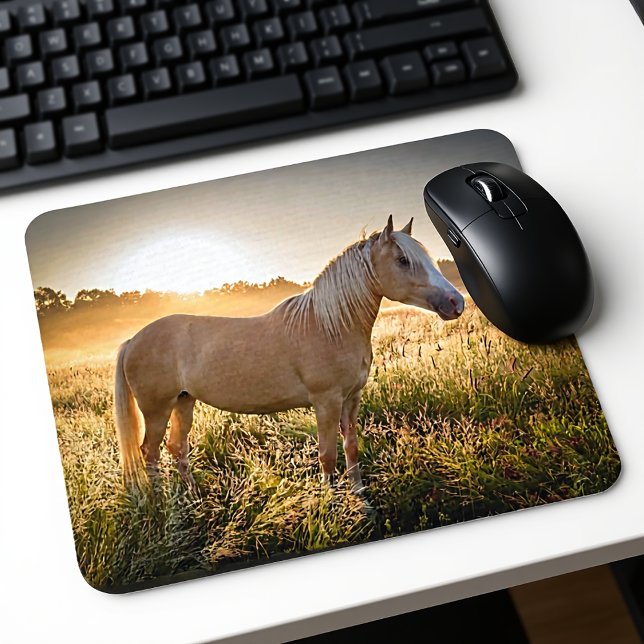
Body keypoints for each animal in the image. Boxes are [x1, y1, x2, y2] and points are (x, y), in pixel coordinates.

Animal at [114, 216, 465, 492]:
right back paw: (164, 507)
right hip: (157, 410)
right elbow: (327, 456)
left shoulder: (351, 399)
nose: (456, 302)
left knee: (176, 448)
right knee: (150, 453)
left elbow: (350, 447)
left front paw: (361, 499)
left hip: (184, 402)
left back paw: (192, 497)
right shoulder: (326, 402)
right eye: (403, 260)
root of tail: (132, 341)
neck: (330, 325)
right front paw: (332, 505)